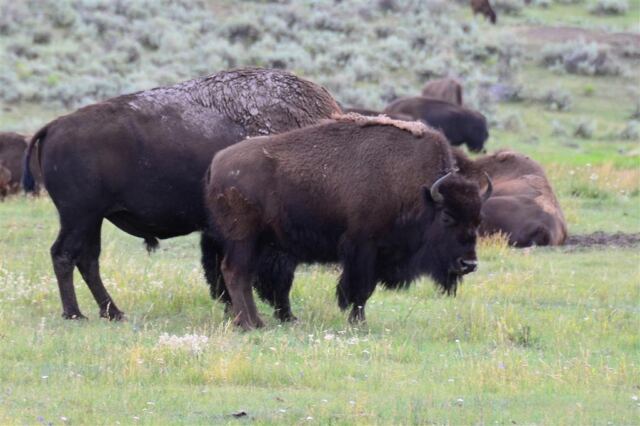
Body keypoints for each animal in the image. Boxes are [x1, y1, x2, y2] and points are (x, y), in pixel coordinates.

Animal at [21, 68, 341, 321]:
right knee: (64, 255)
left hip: (91, 219)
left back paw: (113, 312)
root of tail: (54, 126)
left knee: (87, 259)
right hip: (79, 216)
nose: (287, 316)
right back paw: (75, 313)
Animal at [205, 114, 492, 330]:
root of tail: (217, 162)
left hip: (259, 241)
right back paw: (248, 324)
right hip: (243, 239)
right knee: (235, 273)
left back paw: (256, 321)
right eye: (447, 216)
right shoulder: (364, 248)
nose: (468, 264)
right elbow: (359, 289)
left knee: (242, 276)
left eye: (478, 219)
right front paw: (359, 324)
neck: (419, 191)